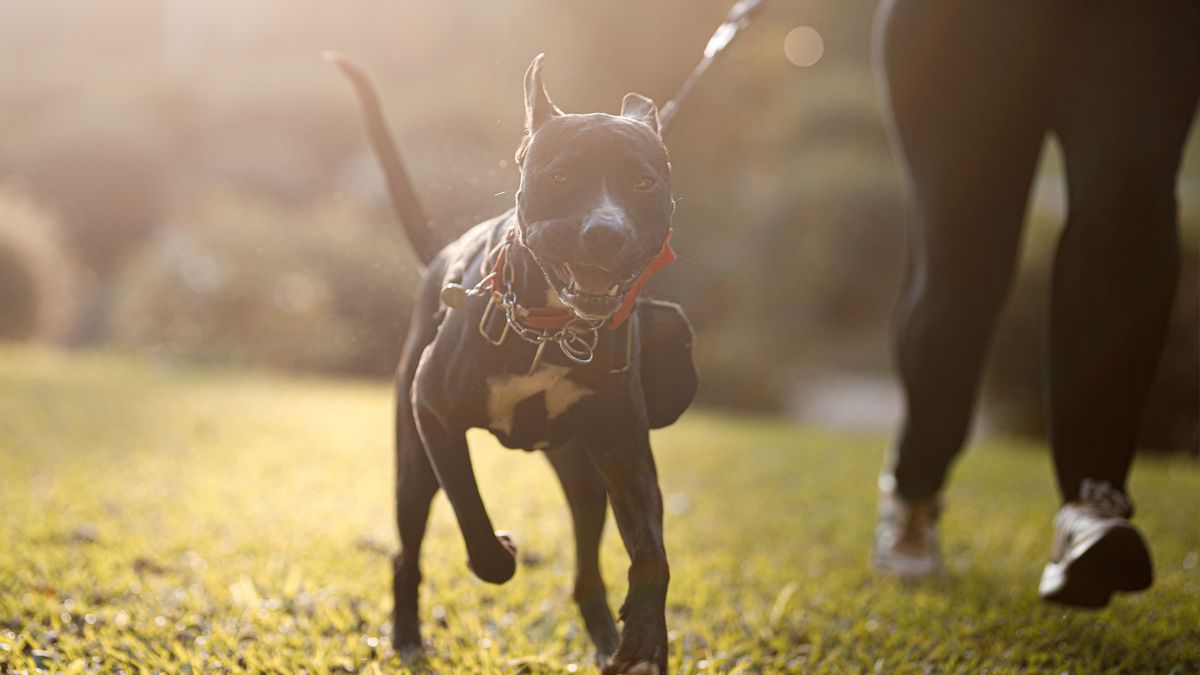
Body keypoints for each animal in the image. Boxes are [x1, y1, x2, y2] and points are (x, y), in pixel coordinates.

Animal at [333, 53, 700, 672]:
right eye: (561, 178)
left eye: (644, 183)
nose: (606, 233)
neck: (552, 331)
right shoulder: (435, 415)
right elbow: (474, 519)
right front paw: (502, 552)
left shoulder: (623, 449)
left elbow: (651, 553)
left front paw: (646, 639)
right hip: (413, 463)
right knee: (407, 551)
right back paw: (407, 637)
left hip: (582, 475)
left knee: (585, 570)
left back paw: (607, 640)